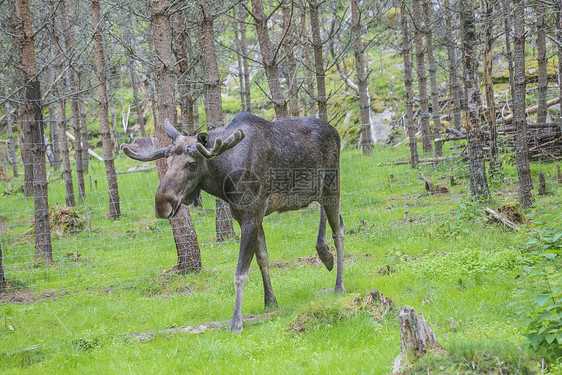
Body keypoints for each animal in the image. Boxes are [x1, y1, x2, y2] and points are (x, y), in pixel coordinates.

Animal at [120, 113, 344, 334]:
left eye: (192, 164)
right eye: (167, 161)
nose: (162, 205)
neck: (224, 180)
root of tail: (336, 132)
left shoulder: (251, 217)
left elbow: (240, 274)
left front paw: (236, 322)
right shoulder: (252, 217)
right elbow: (263, 259)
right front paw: (270, 301)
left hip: (332, 186)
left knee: (338, 233)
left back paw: (338, 284)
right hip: (318, 191)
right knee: (337, 222)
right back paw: (325, 255)